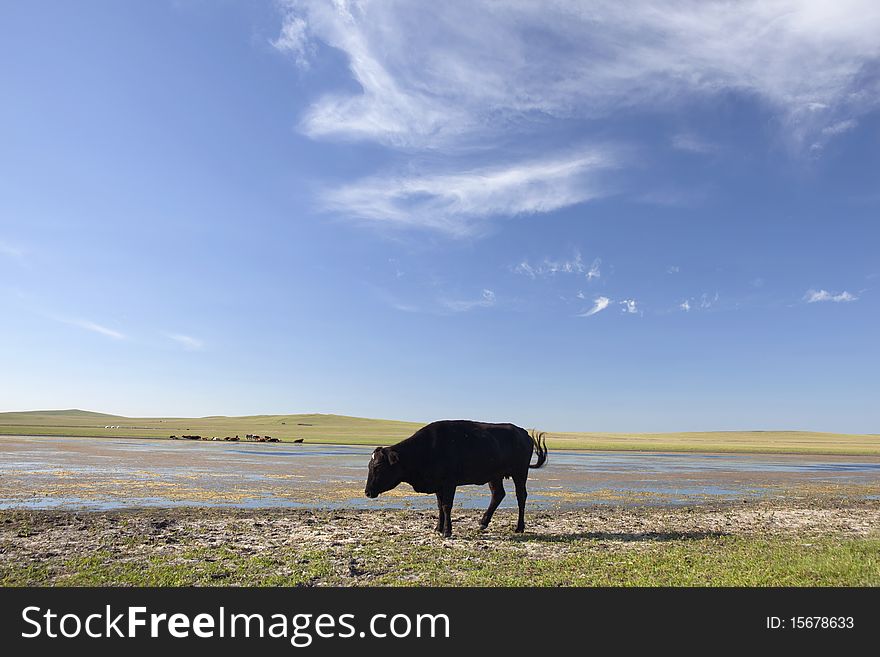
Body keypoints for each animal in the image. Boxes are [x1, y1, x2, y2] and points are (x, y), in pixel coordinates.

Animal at [362, 420, 544, 540]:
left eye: (378, 466)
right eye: (369, 466)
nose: (367, 492)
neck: (427, 449)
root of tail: (523, 433)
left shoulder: (449, 483)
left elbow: (446, 506)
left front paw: (447, 531)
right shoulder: (438, 485)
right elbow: (439, 506)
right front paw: (438, 528)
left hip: (520, 473)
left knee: (521, 496)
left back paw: (519, 527)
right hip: (495, 476)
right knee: (498, 494)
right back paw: (483, 522)